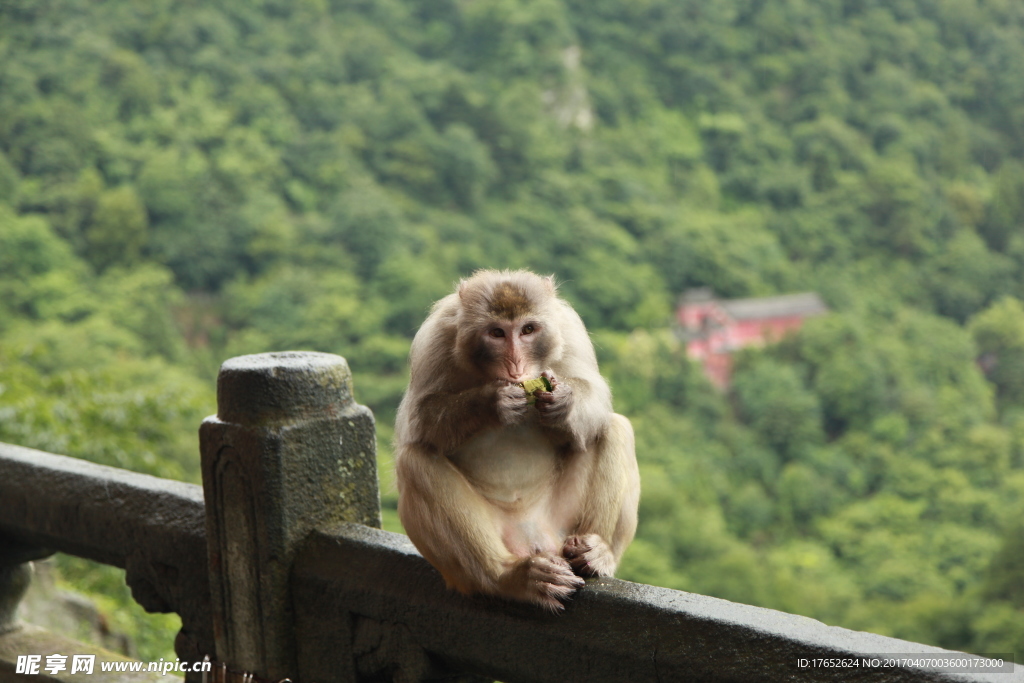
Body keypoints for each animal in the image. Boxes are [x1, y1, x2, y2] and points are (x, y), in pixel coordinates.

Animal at [393, 270, 638, 610]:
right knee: (414, 460)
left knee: (612, 428)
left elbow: (596, 396)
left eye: (528, 330)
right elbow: (419, 419)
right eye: (497, 333)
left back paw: (596, 554)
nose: (516, 364)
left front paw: (564, 403)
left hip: (562, 523)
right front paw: (492, 402)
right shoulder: (434, 338)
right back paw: (512, 577)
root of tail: (533, 538)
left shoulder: (568, 327)